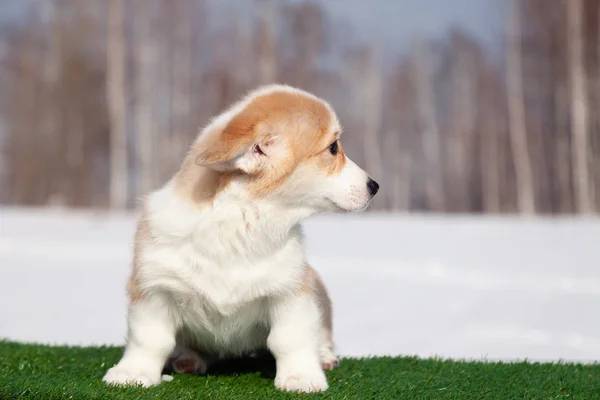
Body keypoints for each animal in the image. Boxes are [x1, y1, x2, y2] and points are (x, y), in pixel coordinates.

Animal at [103, 83, 380, 392]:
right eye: (333, 148)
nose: (375, 186)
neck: (243, 219)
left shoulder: (291, 291)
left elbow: (291, 338)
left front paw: (300, 377)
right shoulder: (154, 288)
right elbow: (149, 339)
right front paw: (133, 373)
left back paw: (325, 357)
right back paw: (188, 358)